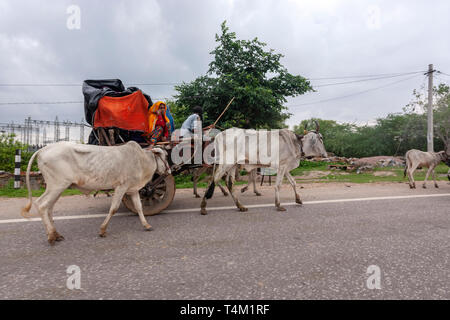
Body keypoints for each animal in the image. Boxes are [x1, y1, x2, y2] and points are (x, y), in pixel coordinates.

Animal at [21, 141, 169, 244]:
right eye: (165, 156)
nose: (169, 171)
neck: (141, 160)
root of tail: (43, 149)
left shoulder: (133, 189)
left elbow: (139, 208)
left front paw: (146, 225)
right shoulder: (121, 187)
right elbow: (114, 208)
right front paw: (102, 230)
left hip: (56, 187)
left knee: (49, 207)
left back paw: (56, 234)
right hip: (57, 185)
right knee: (42, 204)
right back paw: (51, 236)